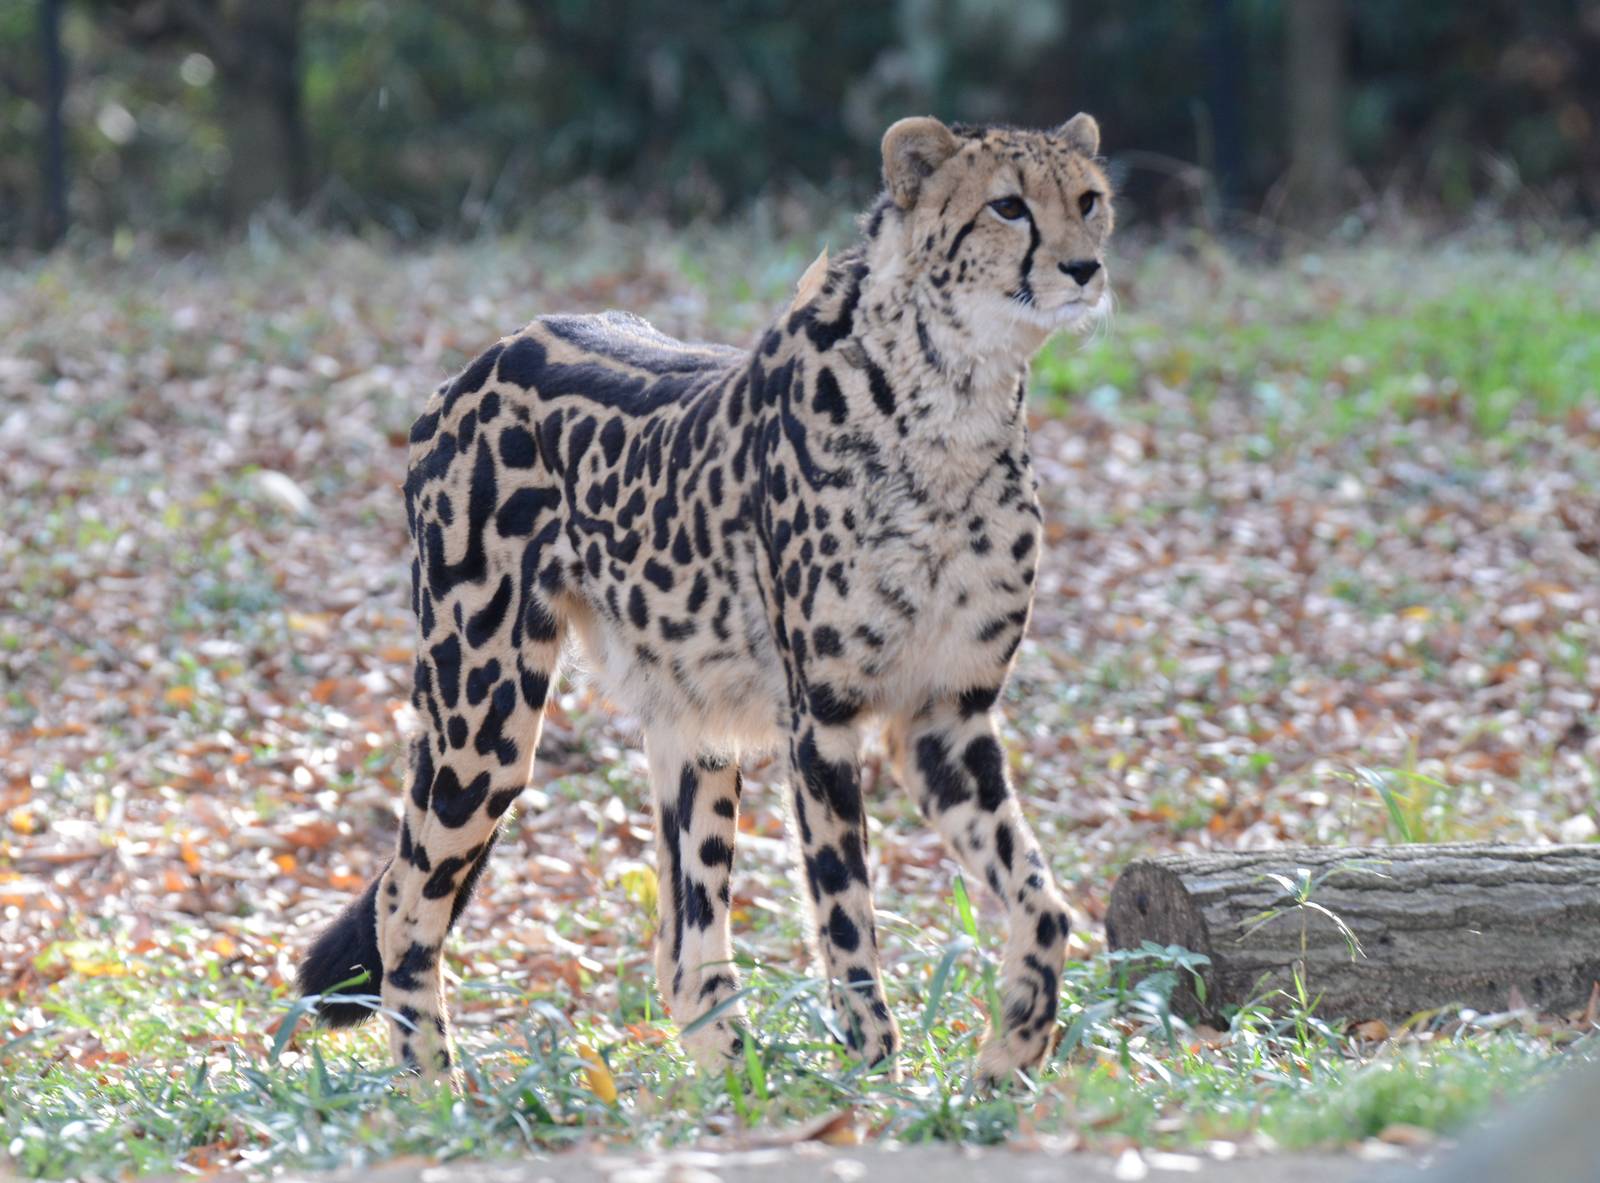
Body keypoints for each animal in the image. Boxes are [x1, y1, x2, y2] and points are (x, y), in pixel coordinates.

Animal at [297, 112, 1115, 1088]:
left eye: (1089, 199)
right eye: (1008, 206)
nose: (1085, 268)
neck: (957, 404)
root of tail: (478, 361)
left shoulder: (948, 714)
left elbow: (1043, 901)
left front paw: (1010, 1051)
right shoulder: (823, 718)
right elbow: (847, 916)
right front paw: (877, 1077)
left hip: (694, 721)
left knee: (682, 946)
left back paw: (740, 1074)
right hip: (483, 711)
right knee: (405, 895)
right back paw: (434, 1085)